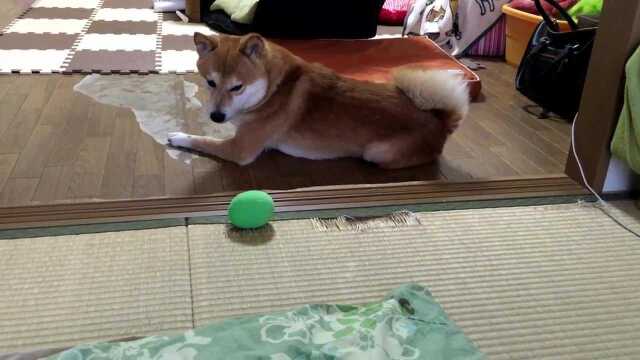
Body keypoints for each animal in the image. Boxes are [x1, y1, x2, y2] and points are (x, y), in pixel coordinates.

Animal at [169, 31, 470, 168]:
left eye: (237, 87)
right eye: (210, 83)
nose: (216, 116)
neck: (274, 88)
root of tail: (441, 122)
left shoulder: (240, 150)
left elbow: (202, 140)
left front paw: (179, 136)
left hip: (378, 152)